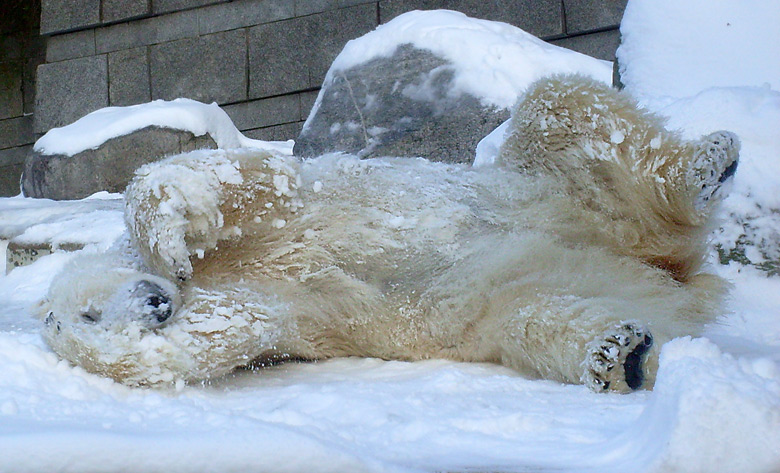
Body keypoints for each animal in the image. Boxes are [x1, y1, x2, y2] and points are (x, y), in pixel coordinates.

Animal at [38, 74, 736, 390]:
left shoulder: (275, 219)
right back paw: (619, 353)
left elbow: (253, 180)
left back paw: (706, 163)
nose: (156, 304)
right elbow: (206, 342)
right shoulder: (258, 304)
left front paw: (167, 238)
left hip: (552, 191)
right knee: (535, 319)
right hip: (530, 286)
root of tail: (669, 268)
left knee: (558, 105)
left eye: (88, 312)